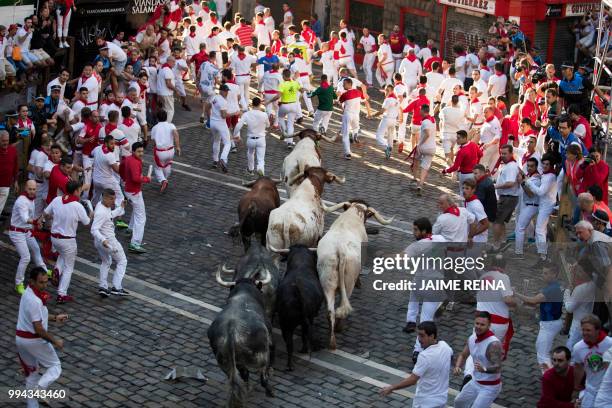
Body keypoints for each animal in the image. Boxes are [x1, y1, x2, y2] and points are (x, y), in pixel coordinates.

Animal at [316, 199, 392, 350]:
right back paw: (339, 328)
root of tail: (340, 249)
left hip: (327, 282)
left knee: (330, 311)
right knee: (342, 307)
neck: (351, 217)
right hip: (348, 284)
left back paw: (332, 340)